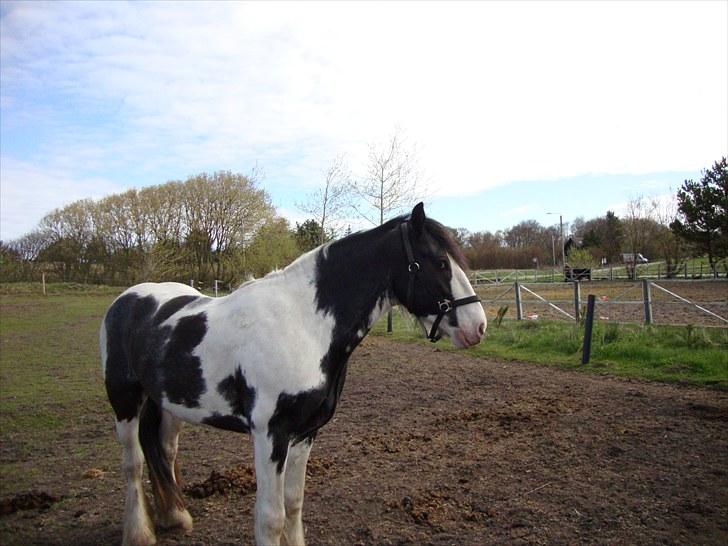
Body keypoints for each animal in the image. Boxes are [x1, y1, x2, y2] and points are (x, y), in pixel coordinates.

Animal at [99, 202, 486, 540]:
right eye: (440, 262)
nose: (478, 326)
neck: (303, 324)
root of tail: (127, 300)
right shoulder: (270, 434)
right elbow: (271, 517)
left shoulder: (305, 433)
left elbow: (294, 504)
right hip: (124, 400)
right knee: (132, 464)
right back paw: (140, 532)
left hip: (167, 406)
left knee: (162, 450)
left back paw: (174, 516)